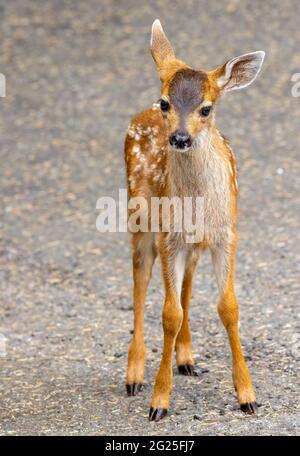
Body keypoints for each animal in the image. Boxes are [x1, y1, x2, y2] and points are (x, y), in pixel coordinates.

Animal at [124, 19, 264, 422]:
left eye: (206, 108)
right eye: (167, 102)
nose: (180, 138)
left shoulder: (225, 235)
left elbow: (228, 307)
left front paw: (247, 395)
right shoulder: (168, 236)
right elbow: (169, 313)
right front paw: (159, 401)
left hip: (193, 244)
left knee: (186, 283)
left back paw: (185, 357)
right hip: (139, 220)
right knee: (140, 281)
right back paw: (134, 375)